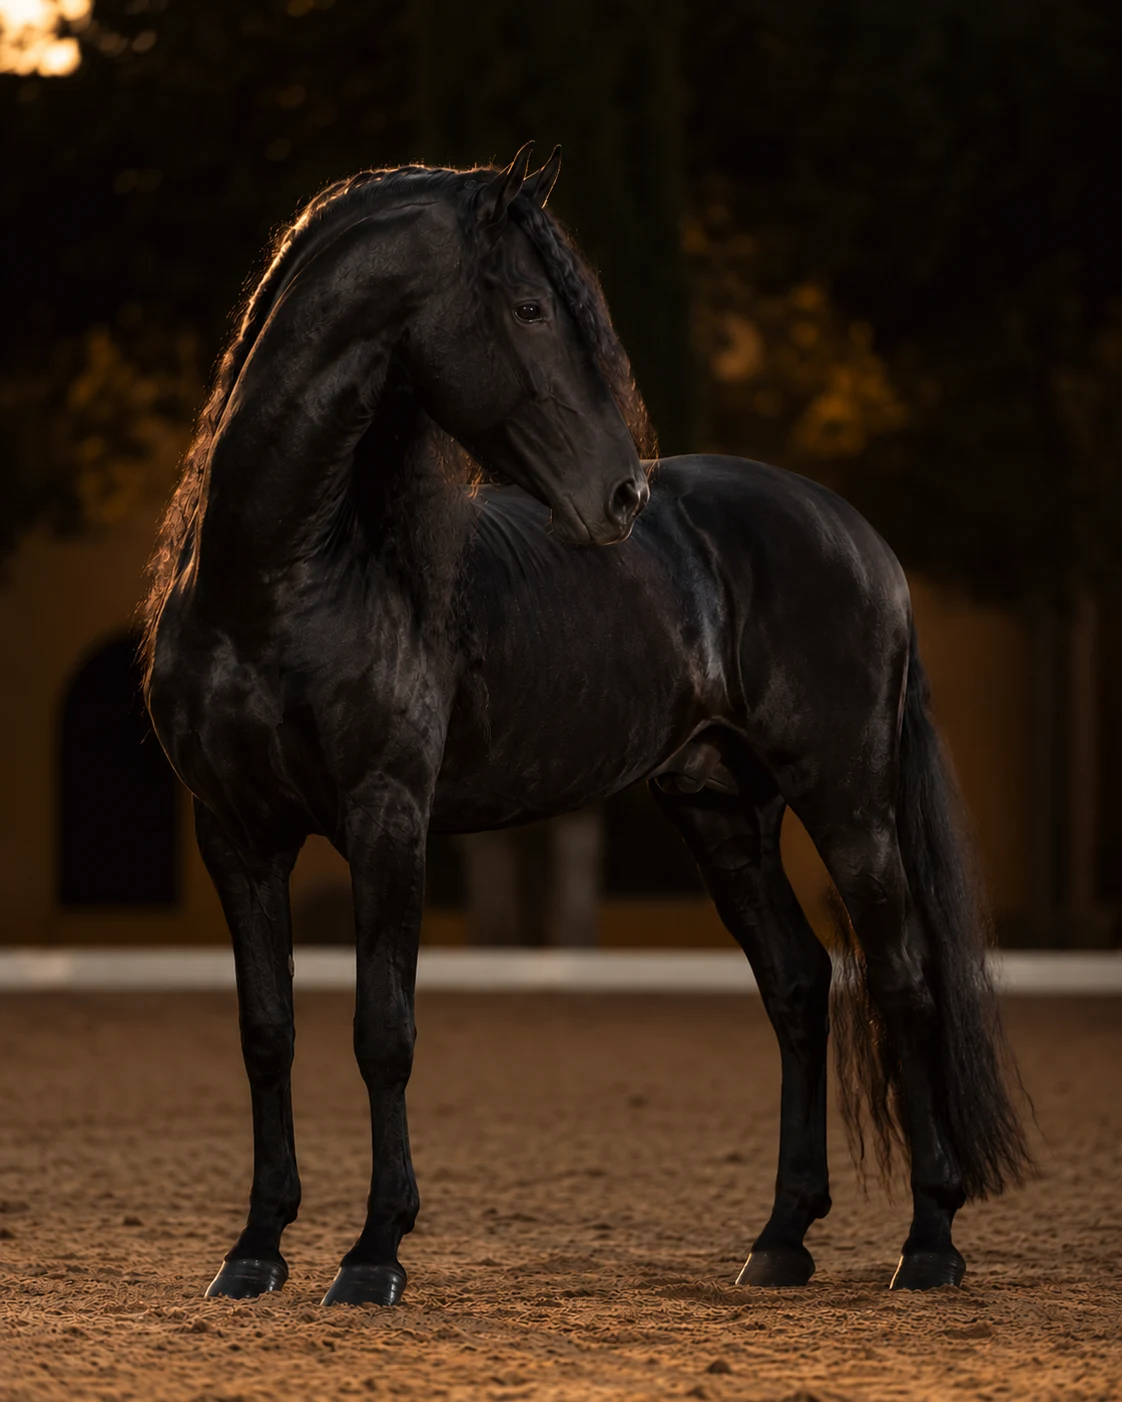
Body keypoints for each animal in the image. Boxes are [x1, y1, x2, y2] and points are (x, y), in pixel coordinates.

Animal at [142, 145, 1031, 1309]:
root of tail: (857, 536)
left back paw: (928, 1241)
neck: (279, 584)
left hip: (849, 802)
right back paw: (779, 1241)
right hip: (719, 807)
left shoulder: (387, 817)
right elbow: (266, 1034)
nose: (622, 496)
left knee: (901, 981)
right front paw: (253, 1250)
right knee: (798, 985)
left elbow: (384, 1031)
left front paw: (374, 1253)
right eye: (527, 306)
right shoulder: (235, 831)